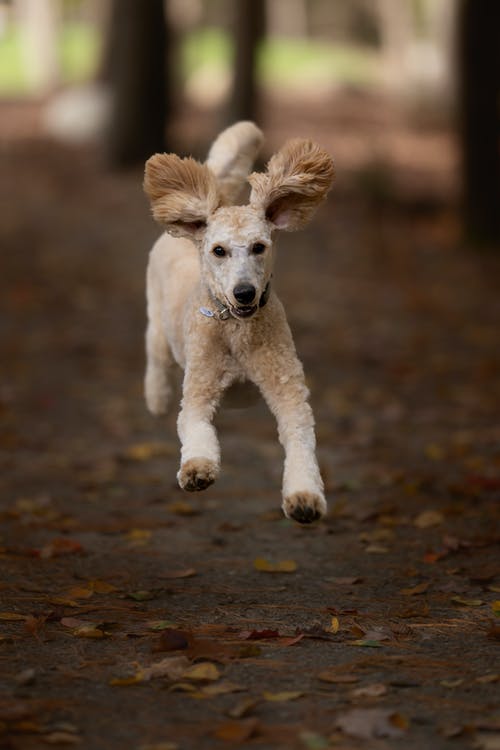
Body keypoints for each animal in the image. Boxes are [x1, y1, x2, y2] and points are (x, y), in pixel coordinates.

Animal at [143, 122, 334, 524]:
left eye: (259, 246)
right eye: (219, 251)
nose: (244, 292)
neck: (235, 328)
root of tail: (191, 231)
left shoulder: (288, 391)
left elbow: (300, 440)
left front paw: (304, 497)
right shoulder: (199, 390)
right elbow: (196, 428)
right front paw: (197, 470)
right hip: (158, 327)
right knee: (156, 358)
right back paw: (157, 395)